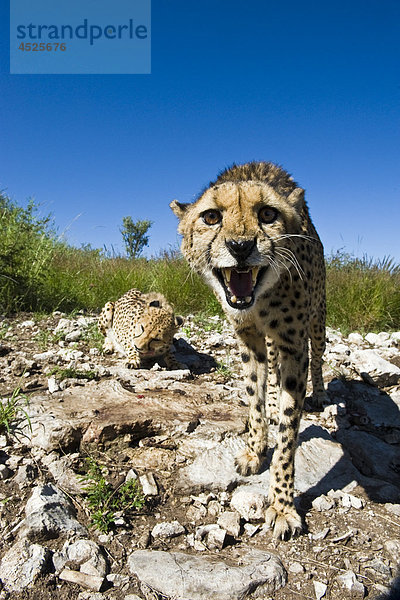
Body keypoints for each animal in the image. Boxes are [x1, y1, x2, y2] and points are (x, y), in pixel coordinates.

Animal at [170, 161, 326, 540]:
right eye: (211, 216)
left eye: (268, 214)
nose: (240, 246)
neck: (261, 300)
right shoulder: (249, 338)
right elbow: (255, 398)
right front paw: (256, 450)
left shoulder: (293, 344)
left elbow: (289, 432)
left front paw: (282, 506)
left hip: (317, 320)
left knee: (319, 353)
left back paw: (319, 392)